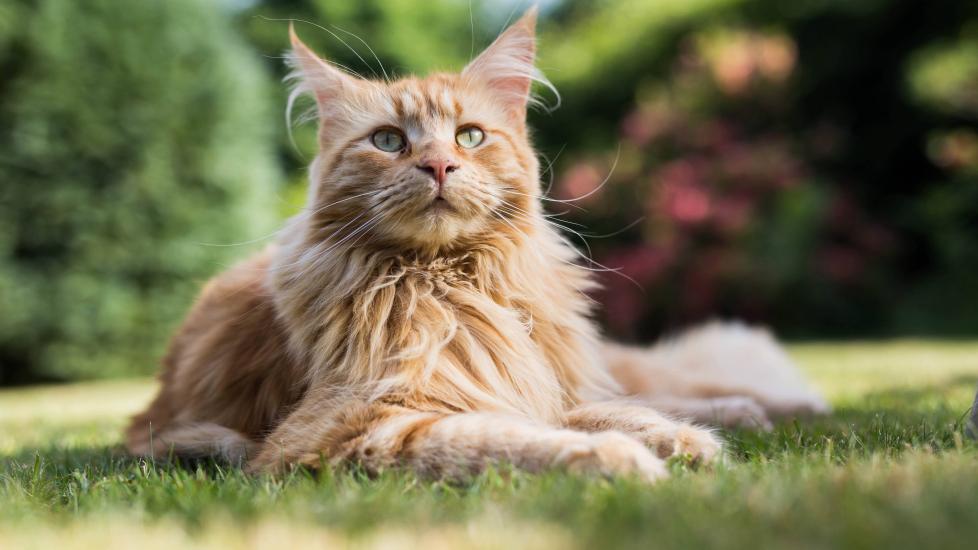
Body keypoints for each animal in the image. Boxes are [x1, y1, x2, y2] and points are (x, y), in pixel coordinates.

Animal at [122, 7, 824, 484]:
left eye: (469, 136)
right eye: (388, 141)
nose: (438, 165)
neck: (451, 285)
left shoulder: (525, 378)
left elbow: (598, 414)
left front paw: (680, 440)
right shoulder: (343, 432)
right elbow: (506, 439)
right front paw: (623, 457)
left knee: (661, 384)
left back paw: (776, 407)